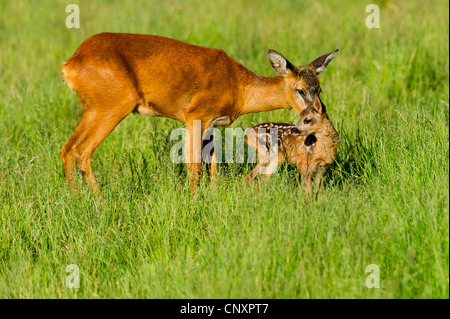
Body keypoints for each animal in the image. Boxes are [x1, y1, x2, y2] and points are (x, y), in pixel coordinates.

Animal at [61, 33, 340, 192]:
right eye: (299, 89)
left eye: (319, 88)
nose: (316, 115)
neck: (238, 87)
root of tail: (71, 63)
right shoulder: (193, 115)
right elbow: (194, 165)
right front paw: (194, 204)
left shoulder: (213, 124)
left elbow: (213, 165)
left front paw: (214, 199)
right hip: (113, 107)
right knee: (82, 151)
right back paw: (97, 200)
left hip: (92, 109)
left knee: (67, 149)